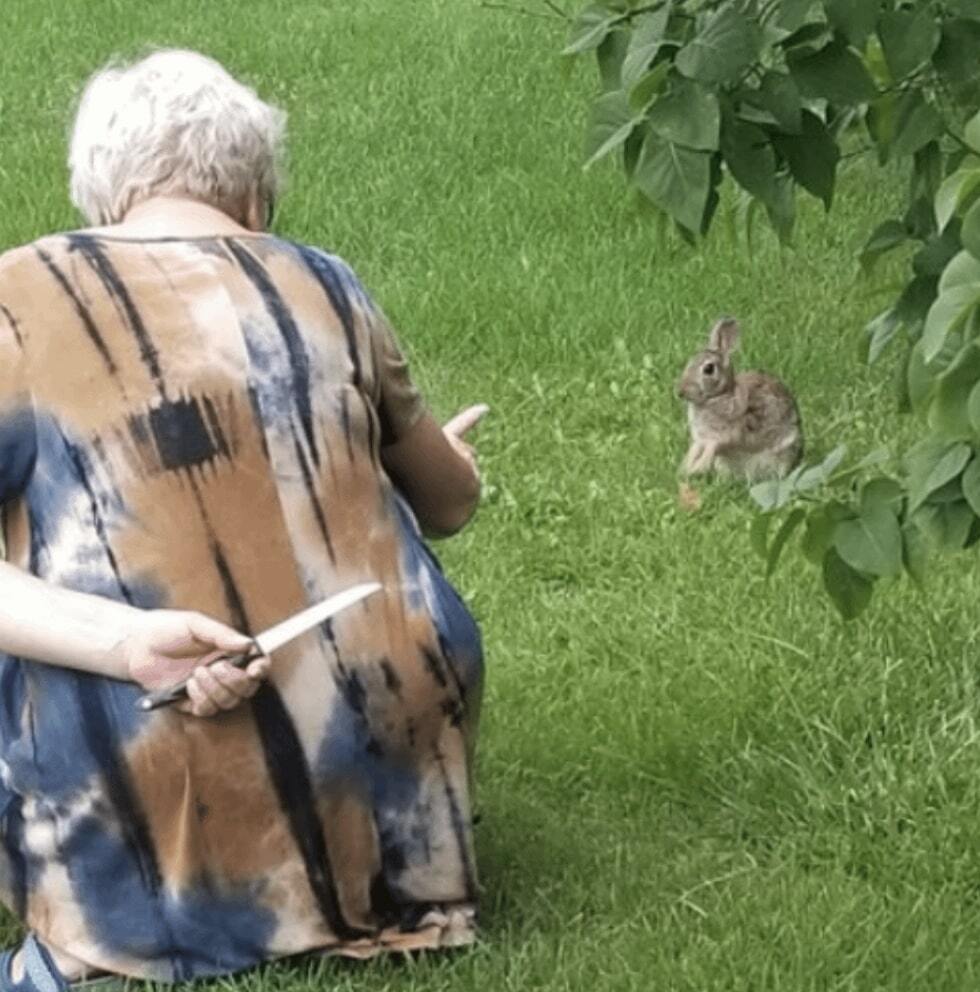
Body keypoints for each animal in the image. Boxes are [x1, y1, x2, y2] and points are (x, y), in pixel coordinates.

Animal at [672, 316, 804, 482]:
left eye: (708, 369)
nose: (680, 392)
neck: (719, 396)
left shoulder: (724, 436)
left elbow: (713, 447)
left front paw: (697, 468)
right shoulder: (700, 439)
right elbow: (694, 450)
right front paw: (684, 470)